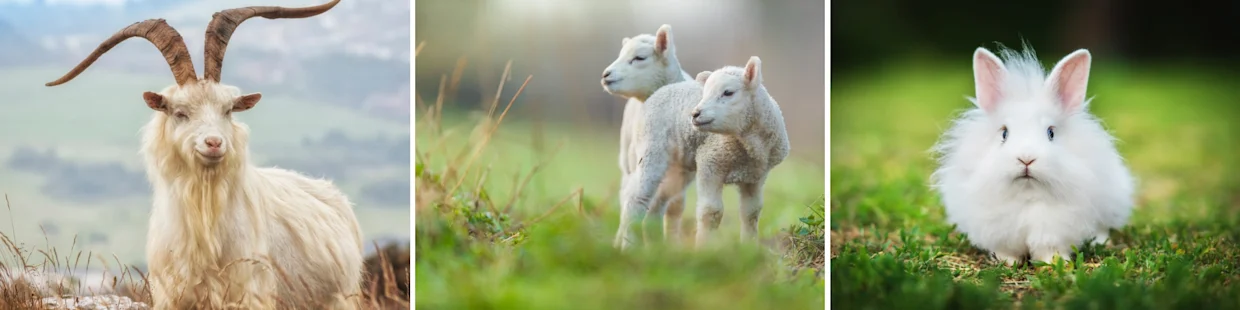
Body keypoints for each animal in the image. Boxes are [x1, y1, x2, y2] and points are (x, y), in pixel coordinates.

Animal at [602, 23, 699, 244]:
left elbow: (666, 208)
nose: (606, 75)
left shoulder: (681, 176)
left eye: (639, 58)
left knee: (669, 206)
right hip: (628, 159)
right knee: (627, 196)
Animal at [615, 56, 788, 249]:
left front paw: (749, 248)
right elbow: (711, 211)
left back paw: (656, 245)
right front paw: (704, 249)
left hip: (678, 168)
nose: (695, 114)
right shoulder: (710, 162)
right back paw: (628, 245)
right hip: (650, 149)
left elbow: (751, 213)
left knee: (657, 204)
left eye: (728, 92)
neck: (746, 145)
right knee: (635, 198)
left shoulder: (756, 177)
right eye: (704, 93)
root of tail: (660, 90)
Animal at [932, 45, 1135, 266]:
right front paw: (1007, 262)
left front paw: (1054, 263)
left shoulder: (1054, 230)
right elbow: (1005, 250)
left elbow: (1050, 249)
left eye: (1051, 133)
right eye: (1004, 133)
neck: (1028, 195)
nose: (1026, 158)